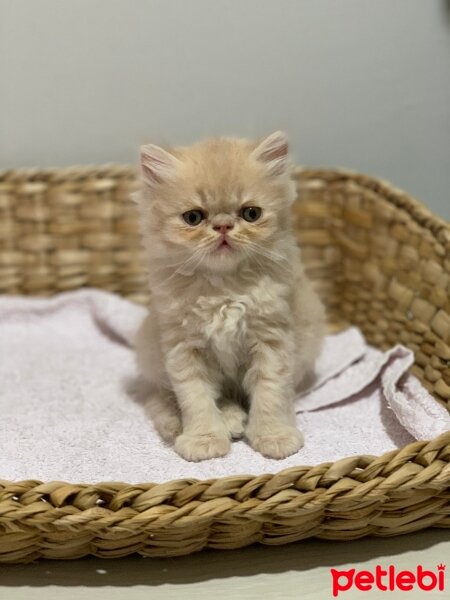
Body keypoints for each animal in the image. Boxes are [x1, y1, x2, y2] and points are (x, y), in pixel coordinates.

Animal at [133, 131, 324, 460]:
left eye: (251, 213)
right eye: (193, 218)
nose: (223, 226)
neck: (223, 290)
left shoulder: (272, 339)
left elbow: (270, 392)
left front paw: (273, 435)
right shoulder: (182, 346)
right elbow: (195, 398)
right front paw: (204, 439)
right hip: (151, 354)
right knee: (159, 397)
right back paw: (212, 421)